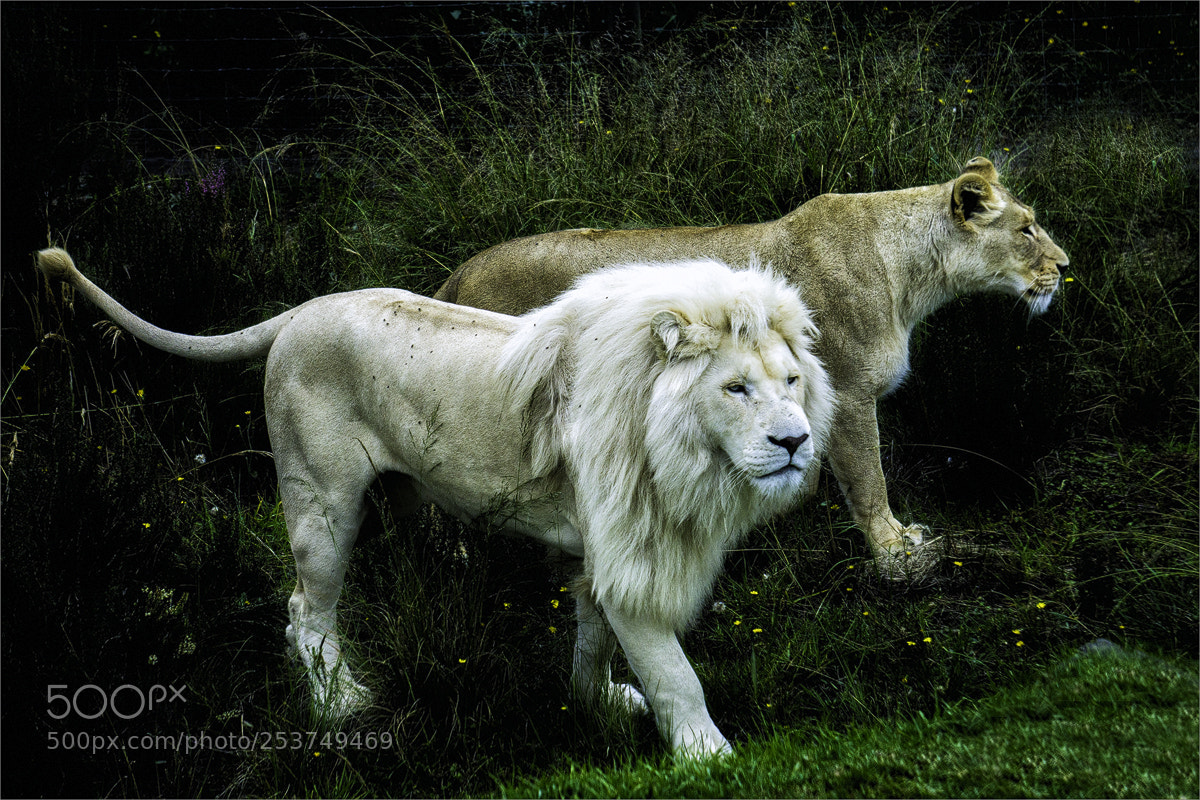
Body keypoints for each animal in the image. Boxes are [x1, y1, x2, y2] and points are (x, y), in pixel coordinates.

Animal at [35, 248, 834, 758]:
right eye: (736, 388)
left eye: (792, 380)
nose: (795, 442)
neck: (678, 445)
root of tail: (301, 312)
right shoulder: (631, 553)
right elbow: (674, 673)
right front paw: (709, 756)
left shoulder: (603, 545)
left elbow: (592, 637)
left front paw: (594, 702)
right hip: (321, 502)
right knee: (306, 609)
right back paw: (339, 705)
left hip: (394, 501)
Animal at [435, 157, 1069, 577]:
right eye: (1026, 229)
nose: (1065, 266)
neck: (912, 275)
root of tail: (459, 273)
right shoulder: (850, 392)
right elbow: (869, 478)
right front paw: (896, 551)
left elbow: (804, 475)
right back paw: (463, 559)